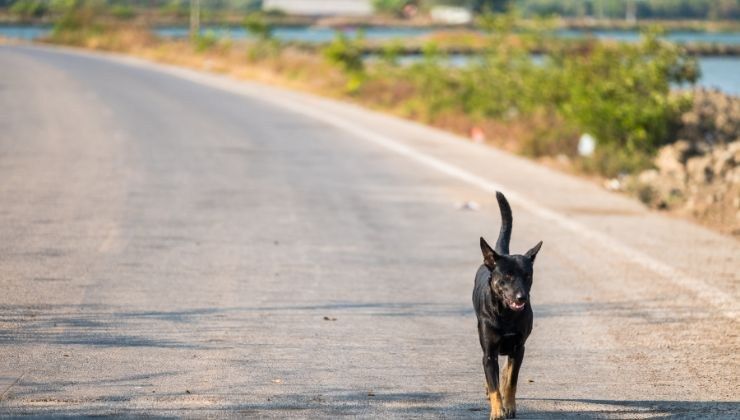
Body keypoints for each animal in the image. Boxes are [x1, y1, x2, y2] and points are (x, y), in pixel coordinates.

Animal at [474, 192, 544, 418]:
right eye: (507, 276)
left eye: (527, 275)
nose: (522, 298)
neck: (506, 315)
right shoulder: (489, 353)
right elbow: (494, 386)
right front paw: (498, 411)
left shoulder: (519, 348)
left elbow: (511, 382)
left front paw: (510, 406)